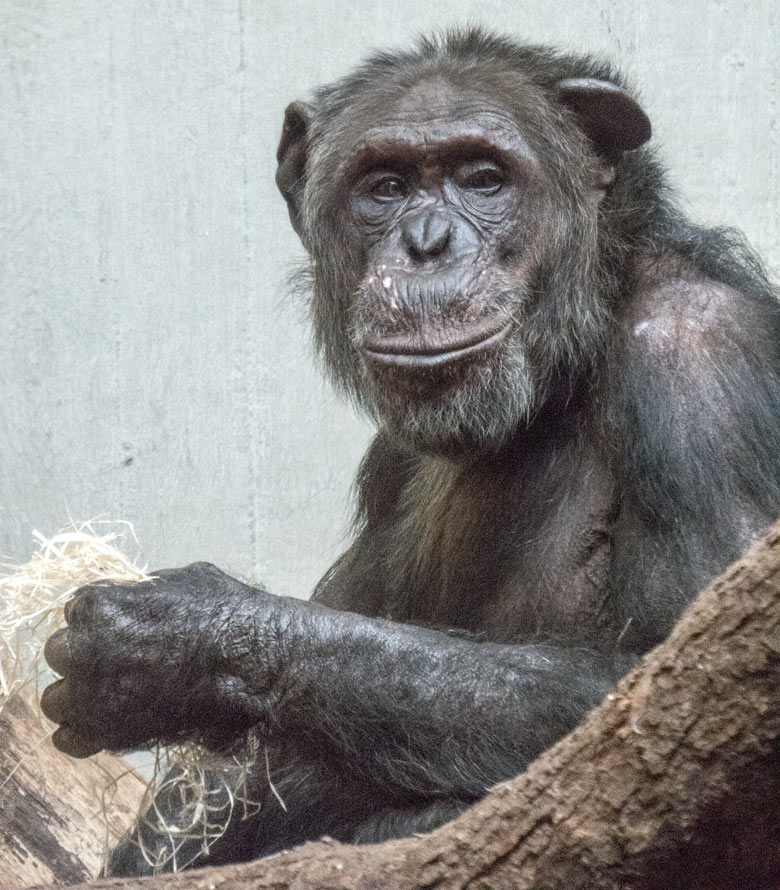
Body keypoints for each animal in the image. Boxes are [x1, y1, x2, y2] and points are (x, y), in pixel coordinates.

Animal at [41, 29, 780, 876]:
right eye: (386, 186)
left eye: (485, 178)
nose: (428, 244)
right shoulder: (389, 462)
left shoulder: (702, 368)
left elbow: (668, 690)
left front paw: (175, 643)